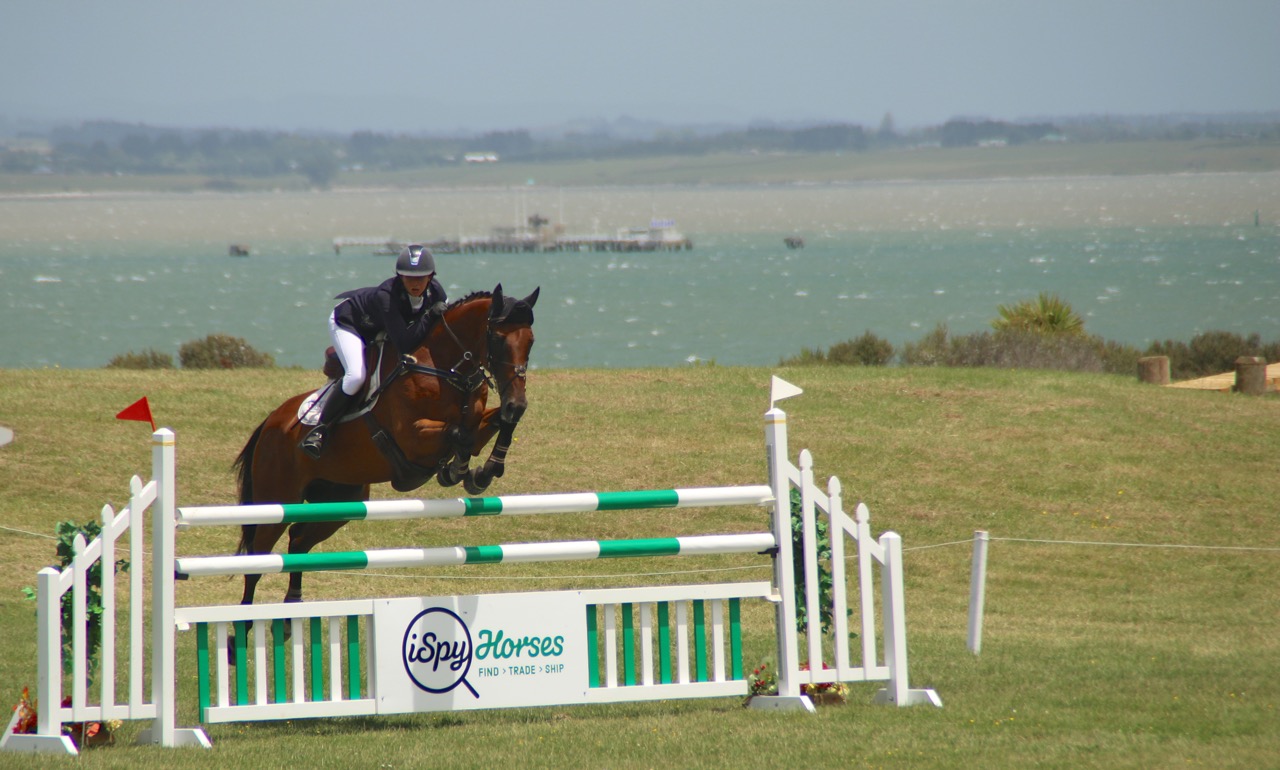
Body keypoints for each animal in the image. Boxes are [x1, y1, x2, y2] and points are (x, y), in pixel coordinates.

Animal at [232, 281, 537, 606]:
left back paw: (293, 607)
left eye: (530, 341)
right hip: (276, 501)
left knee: (299, 541)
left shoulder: (475, 422)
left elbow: (495, 424)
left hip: (341, 501)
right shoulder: (413, 438)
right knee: (257, 560)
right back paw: (246, 617)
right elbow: (460, 434)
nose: (518, 403)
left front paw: (483, 472)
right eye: (498, 339)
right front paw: (458, 471)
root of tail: (271, 422)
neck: (448, 369)